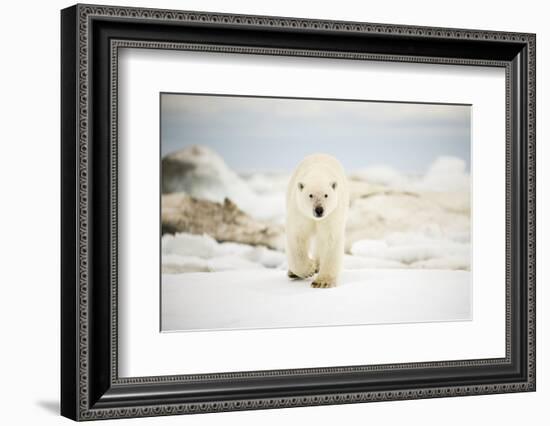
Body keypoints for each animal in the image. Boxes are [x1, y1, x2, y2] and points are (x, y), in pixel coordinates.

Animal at [288, 151, 350, 288]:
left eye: (326, 195)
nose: (319, 210)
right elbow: (298, 236)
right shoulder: (300, 212)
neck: (318, 173)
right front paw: (309, 269)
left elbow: (330, 239)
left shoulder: (332, 214)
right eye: (310, 195)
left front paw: (322, 282)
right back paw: (293, 273)